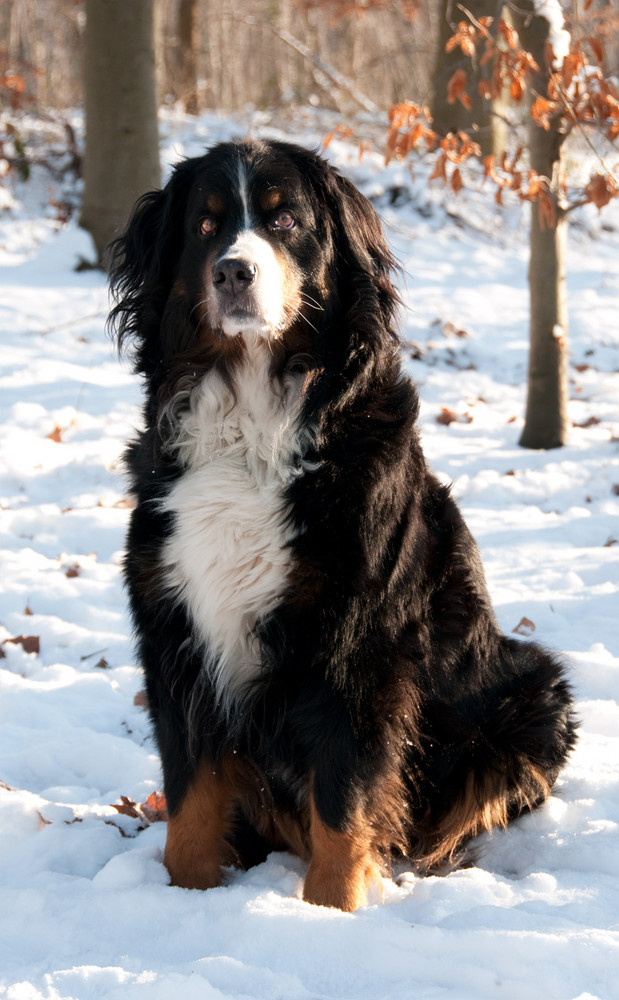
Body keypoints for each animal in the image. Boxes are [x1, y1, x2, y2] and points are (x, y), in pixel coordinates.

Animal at [106, 137, 576, 912]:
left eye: (285, 220)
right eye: (205, 225)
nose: (234, 271)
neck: (251, 420)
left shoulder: (356, 640)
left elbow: (344, 796)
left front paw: (332, 910)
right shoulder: (175, 628)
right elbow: (192, 801)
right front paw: (184, 897)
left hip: (535, 692)